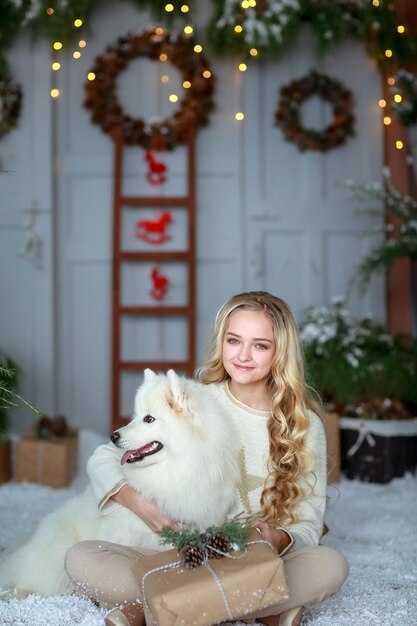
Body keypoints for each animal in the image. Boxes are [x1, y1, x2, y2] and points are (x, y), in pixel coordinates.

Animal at [0, 368, 239, 596]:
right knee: (27, 580)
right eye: (136, 415)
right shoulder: (121, 533)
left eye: (149, 419)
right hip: (54, 562)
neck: (177, 469)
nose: (113, 436)